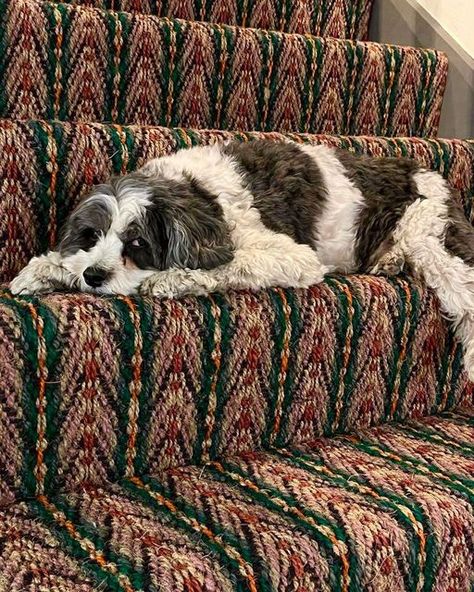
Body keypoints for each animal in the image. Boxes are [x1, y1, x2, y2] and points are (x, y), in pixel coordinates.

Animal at [10, 140, 474, 380]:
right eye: (91, 235)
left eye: (137, 242)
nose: (94, 276)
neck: (195, 195)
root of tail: (431, 174)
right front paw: (46, 270)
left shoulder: (295, 256)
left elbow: (227, 264)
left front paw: (173, 278)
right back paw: (388, 261)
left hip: (434, 239)